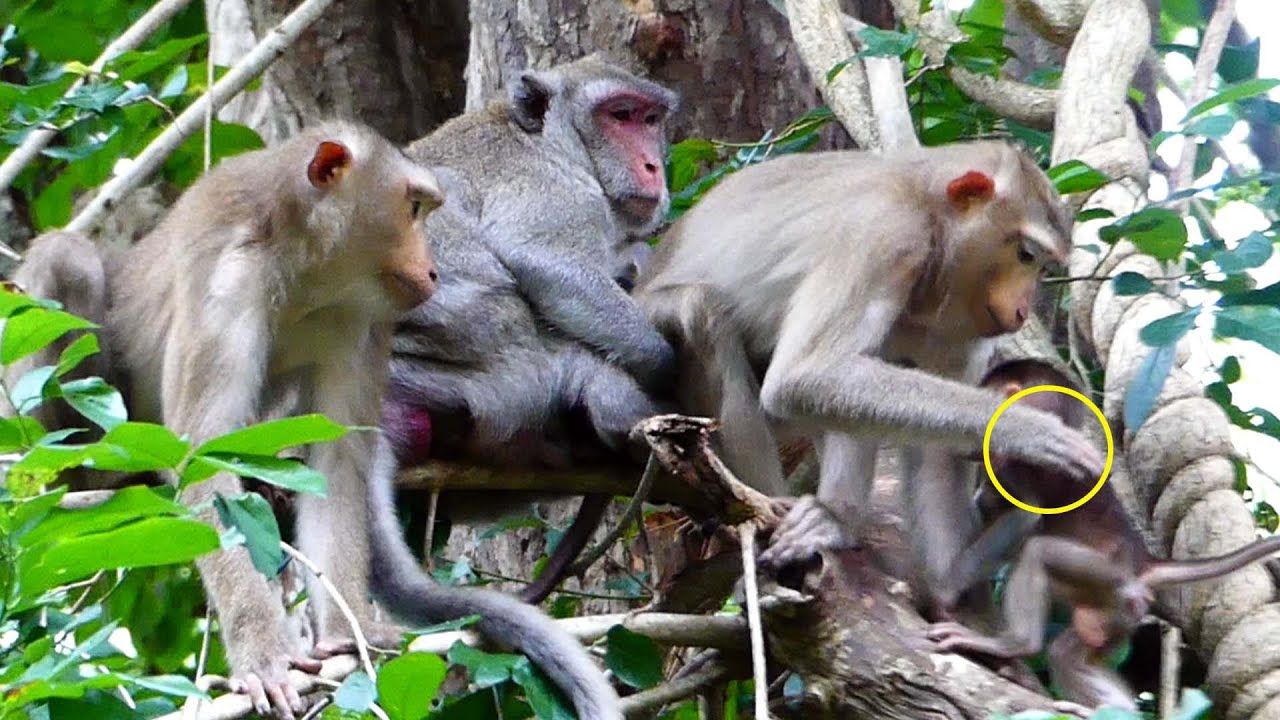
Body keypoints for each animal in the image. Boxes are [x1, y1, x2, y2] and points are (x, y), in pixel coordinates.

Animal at [383, 55, 680, 603]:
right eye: (620, 115)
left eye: (651, 120)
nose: (654, 167)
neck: (550, 140)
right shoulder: (547, 187)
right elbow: (546, 261)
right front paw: (662, 364)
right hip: (498, 387)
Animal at [631, 141, 1107, 585]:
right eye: (1026, 255)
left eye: (1042, 265)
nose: (1025, 310)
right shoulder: (883, 233)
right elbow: (804, 375)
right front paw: (1030, 431)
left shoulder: (962, 333)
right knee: (701, 311)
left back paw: (834, 519)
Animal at [925, 359, 1280, 711]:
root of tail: (1142, 561)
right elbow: (990, 503)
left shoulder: (1020, 458)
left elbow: (1024, 515)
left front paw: (947, 588)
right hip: (1115, 614)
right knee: (1070, 656)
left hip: (1109, 579)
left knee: (1039, 553)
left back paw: (1016, 644)